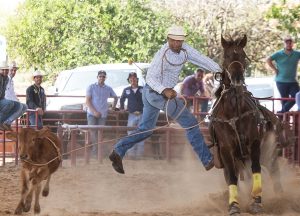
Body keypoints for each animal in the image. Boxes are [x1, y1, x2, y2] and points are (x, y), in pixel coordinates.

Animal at [209, 34, 290, 215]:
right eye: (226, 56)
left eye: (242, 56)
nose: (237, 79)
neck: (234, 111)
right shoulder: (226, 150)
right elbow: (232, 177)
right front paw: (233, 205)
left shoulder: (253, 143)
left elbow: (256, 169)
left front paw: (256, 202)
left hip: (268, 152)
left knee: (274, 173)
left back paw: (281, 198)